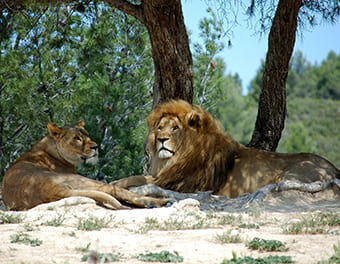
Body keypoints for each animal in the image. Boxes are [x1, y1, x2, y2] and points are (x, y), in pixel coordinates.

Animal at [2, 120, 167, 209]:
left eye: (87, 135)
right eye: (77, 138)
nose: (96, 147)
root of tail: (52, 190)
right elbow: (123, 183)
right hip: (83, 181)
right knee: (117, 191)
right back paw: (158, 202)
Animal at [115, 99, 340, 198]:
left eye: (175, 128)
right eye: (160, 128)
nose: (161, 139)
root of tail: (334, 168)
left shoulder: (178, 182)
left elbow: (139, 179)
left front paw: (121, 185)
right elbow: (135, 176)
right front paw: (116, 182)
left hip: (294, 173)